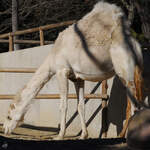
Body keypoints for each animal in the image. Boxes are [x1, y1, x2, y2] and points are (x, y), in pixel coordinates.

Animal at [2, 1, 143, 139]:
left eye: (9, 116)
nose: (5, 130)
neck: (53, 56)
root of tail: (134, 43)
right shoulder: (77, 78)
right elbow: (80, 106)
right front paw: (83, 135)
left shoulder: (61, 71)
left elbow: (63, 105)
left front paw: (60, 135)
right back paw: (122, 134)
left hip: (123, 67)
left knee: (133, 104)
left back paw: (126, 136)